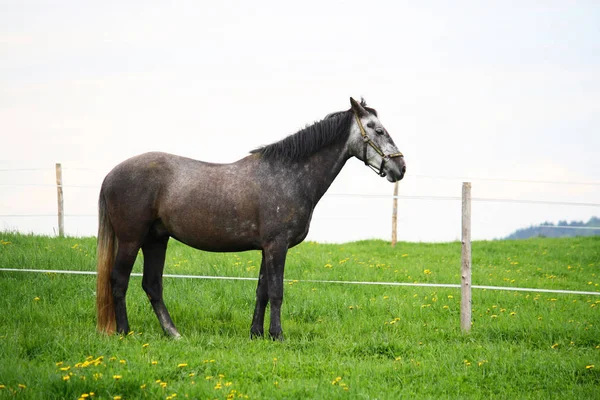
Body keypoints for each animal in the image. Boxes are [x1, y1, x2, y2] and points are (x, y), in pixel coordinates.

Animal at [97, 97, 408, 338]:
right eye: (378, 130)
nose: (401, 167)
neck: (289, 175)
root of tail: (111, 174)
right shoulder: (277, 246)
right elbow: (277, 291)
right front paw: (277, 335)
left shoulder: (266, 248)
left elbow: (262, 291)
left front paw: (256, 333)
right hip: (131, 239)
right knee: (119, 280)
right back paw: (124, 331)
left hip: (156, 239)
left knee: (152, 285)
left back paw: (173, 333)